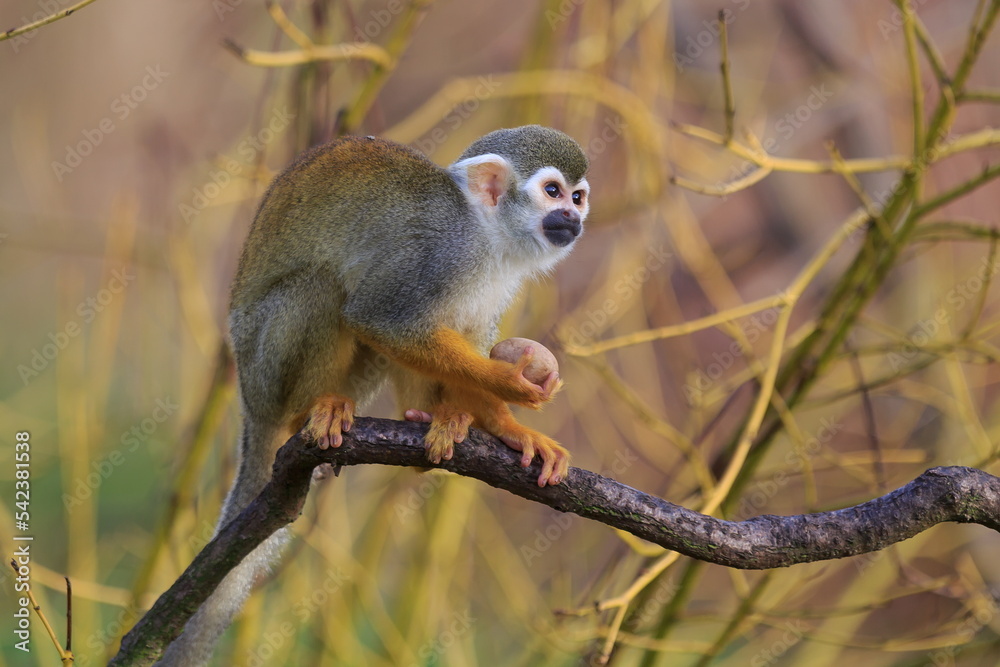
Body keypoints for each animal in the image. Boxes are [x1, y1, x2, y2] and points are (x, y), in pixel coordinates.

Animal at [156, 125, 589, 665]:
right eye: (553, 192)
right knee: (324, 288)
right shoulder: (435, 254)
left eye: (578, 197)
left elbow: (458, 333)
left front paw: (505, 426)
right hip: (262, 365)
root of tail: (250, 407)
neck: (488, 236)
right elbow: (379, 317)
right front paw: (506, 382)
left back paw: (424, 417)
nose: (573, 218)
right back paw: (312, 410)